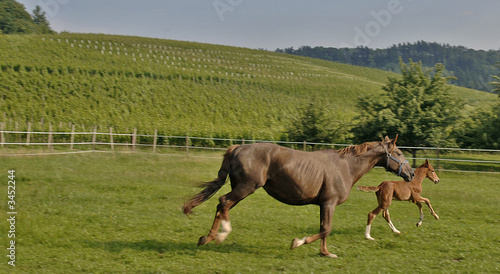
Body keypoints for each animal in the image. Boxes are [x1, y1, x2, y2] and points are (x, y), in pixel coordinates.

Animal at [184, 136, 414, 258]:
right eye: (399, 153)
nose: (411, 173)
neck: (345, 167)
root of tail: (237, 147)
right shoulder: (329, 203)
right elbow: (326, 229)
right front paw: (298, 242)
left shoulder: (324, 205)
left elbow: (324, 229)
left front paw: (324, 253)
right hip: (246, 187)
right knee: (223, 203)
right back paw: (220, 235)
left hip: (241, 188)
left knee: (222, 206)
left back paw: (207, 238)